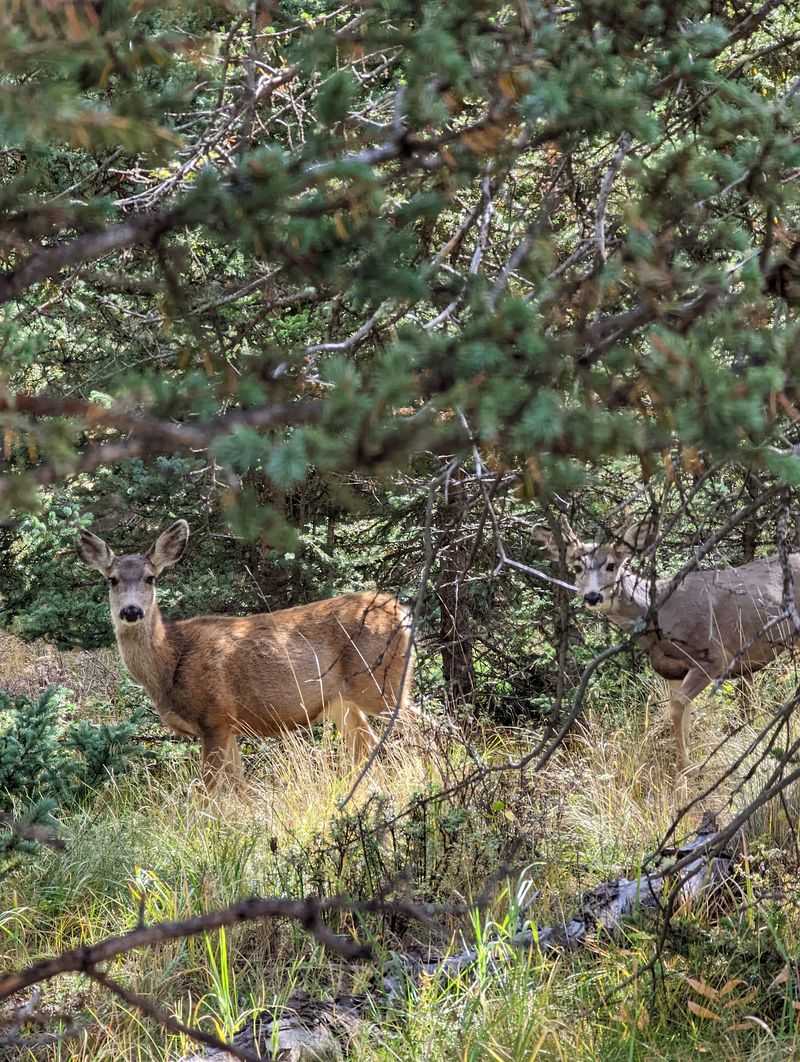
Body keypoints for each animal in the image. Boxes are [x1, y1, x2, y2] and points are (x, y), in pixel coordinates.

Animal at [77, 520, 414, 789]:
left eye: (151, 577)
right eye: (112, 579)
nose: (131, 611)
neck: (170, 660)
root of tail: (402, 611)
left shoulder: (214, 716)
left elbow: (209, 791)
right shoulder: (230, 726)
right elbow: (238, 788)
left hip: (380, 682)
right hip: (343, 703)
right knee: (368, 746)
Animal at [535, 516, 800, 778]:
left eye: (611, 565)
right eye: (577, 568)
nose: (592, 597)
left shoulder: (715, 656)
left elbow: (676, 708)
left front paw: (685, 769)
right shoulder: (672, 670)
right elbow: (683, 713)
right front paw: (686, 762)